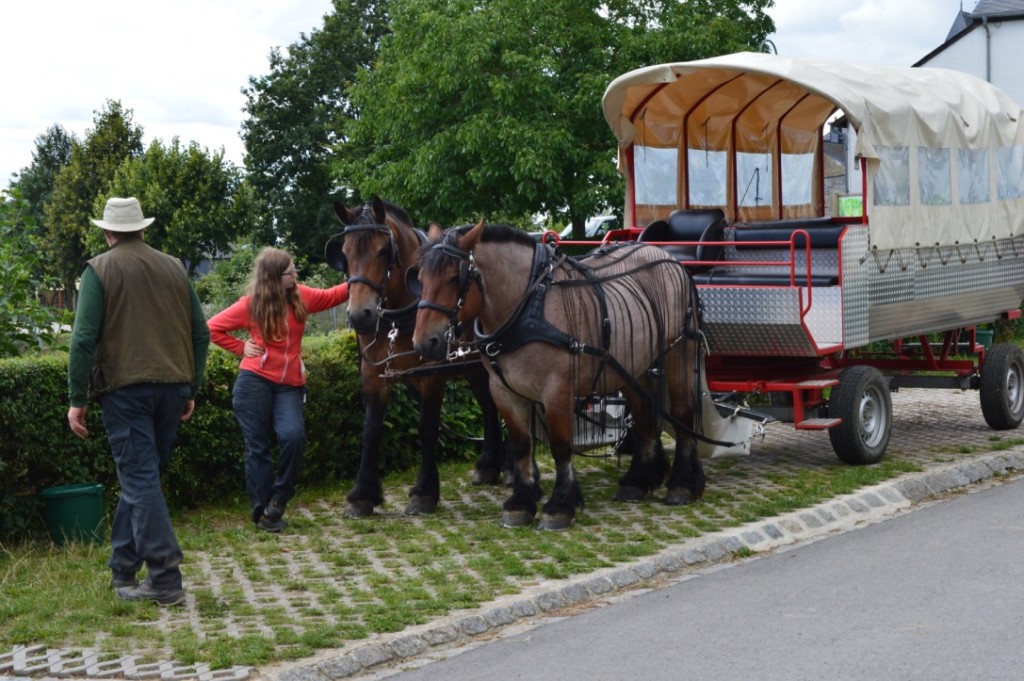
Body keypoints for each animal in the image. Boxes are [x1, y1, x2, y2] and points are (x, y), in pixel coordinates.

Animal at [325, 196, 505, 516]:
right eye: (344, 253)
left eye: (383, 251)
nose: (360, 316)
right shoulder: (373, 373)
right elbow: (371, 430)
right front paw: (362, 494)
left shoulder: (431, 374)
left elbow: (427, 428)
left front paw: (424, 492)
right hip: (474, 368)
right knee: (488, 403)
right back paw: (490, 466)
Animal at [407, 223, 704, 532]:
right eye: (419, 278)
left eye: (455, 277)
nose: (424, 343)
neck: (527, 307)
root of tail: (669, 258)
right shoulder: (503, 390)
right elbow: (521, 445)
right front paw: (521, 502)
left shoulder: (556, 390)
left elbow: (561, 447)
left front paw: (559, 506)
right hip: (633, 363)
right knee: (644, 412)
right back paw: (638, 480)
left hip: (680, 350)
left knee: (682, 412)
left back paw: (682, 485)